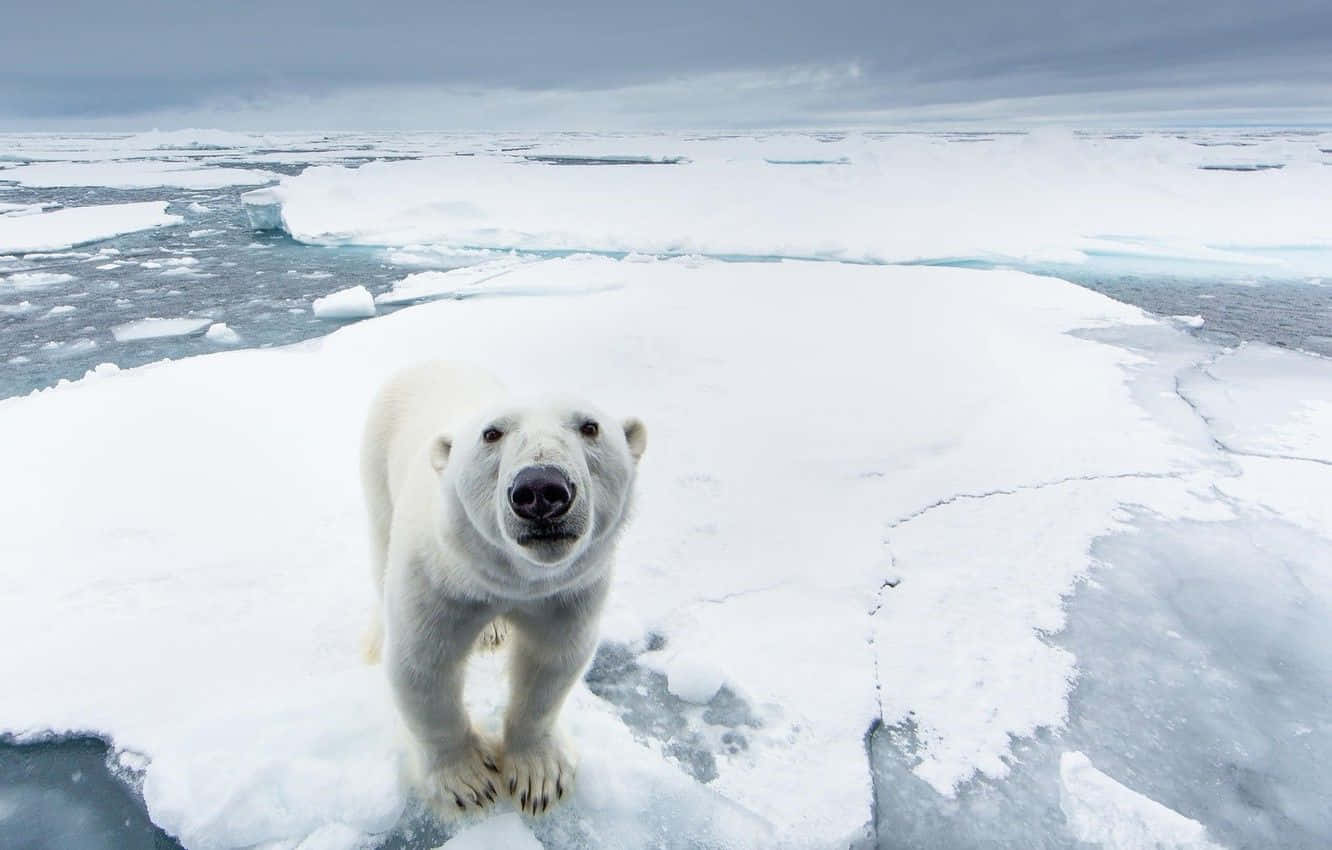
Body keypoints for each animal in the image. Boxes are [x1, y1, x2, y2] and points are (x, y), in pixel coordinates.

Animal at [360, 361, 646, 817]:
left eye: (590, 426)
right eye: (491, 433)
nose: (541, 490)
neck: (512, 579)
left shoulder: (566, 591)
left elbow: (550, 662)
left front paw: (539, 775)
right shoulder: (439, 579)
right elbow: (423, 664)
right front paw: (468, 781)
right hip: (377, 463)